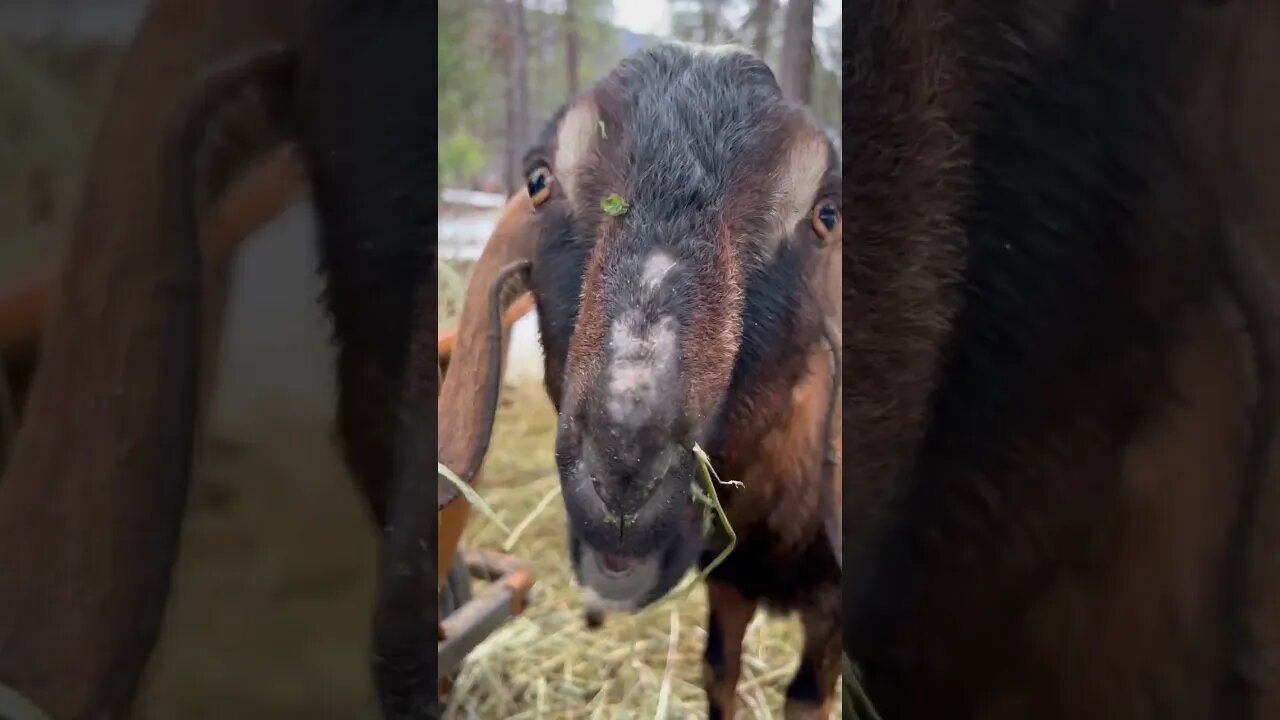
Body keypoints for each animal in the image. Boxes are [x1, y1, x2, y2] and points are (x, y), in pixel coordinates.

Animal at [435, 44, 844, 717]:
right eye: (539, 182)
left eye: (826, 215)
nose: (623, 474)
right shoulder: (727, 581)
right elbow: (718, 672)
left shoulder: (830, 615)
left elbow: (806, 699)